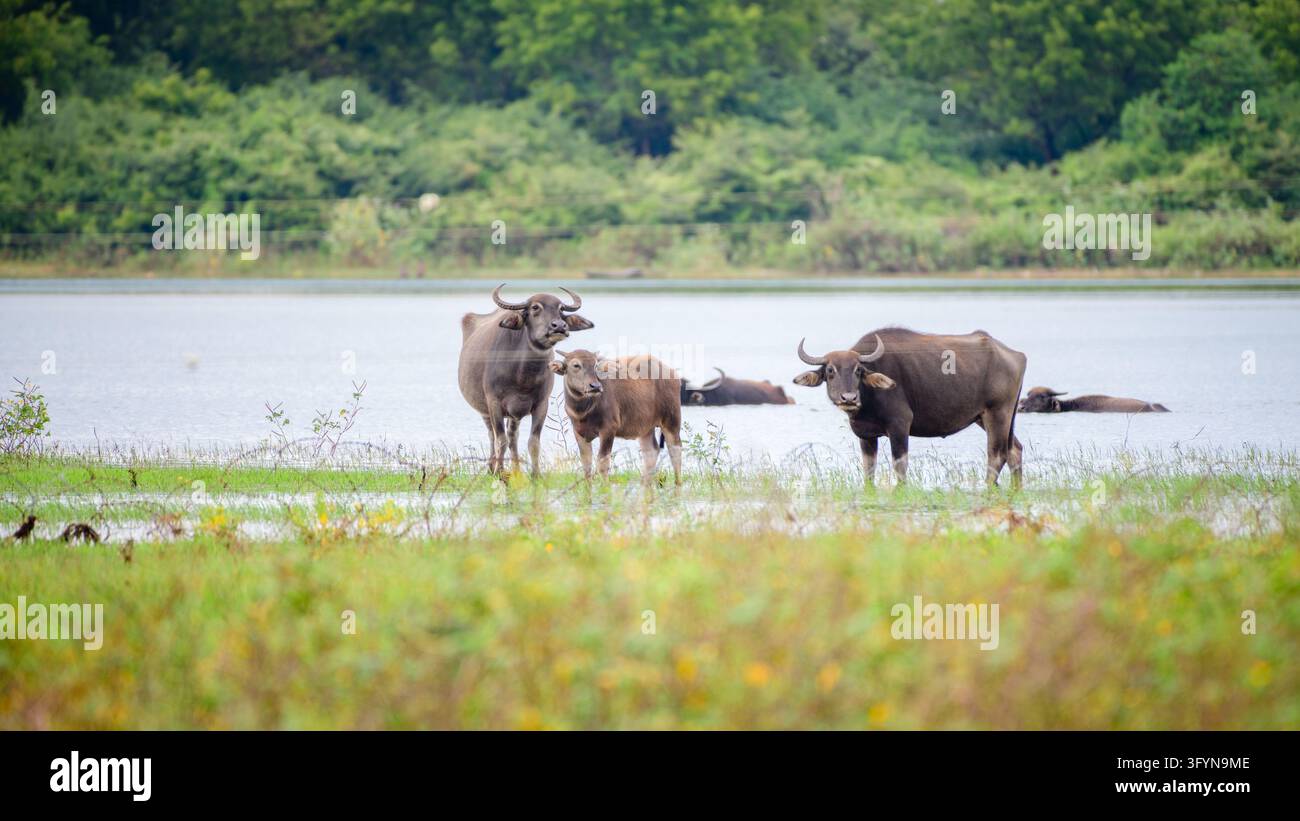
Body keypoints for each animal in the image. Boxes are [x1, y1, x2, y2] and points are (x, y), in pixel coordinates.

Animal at [458, 284, 594, 475]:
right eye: (535, 307)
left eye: (560, 309)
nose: (559, 326)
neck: (522, 377)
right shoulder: (494, 403)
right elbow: (500, 440)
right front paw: (500, 472)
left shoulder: (541, 405)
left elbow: (533, 442)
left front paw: (536, 474)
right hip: (484, 410)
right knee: (493, 435)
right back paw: (492, 467)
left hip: (514, 414)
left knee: (513, 436)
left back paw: (515, 469)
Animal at [551, 350, 682, 485]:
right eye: (576, 365)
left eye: (595, 365)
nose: (595, 386)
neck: (584, 410)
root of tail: (673, 374)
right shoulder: (578, 432)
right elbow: (586, 465)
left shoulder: (608, 430)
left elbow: (602, 463)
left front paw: (605, 488)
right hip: (646, 427)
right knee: (651, 452)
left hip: (672, 420)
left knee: (675, 451)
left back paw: (677, 485)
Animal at [793, 328, 1027, 486]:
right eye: (830, 370)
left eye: (858, 370)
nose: (848, 398)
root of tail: (1016, 355)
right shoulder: (866, 435)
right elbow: (869, 469)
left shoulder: (900, 425)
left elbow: (900, 465)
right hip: (986, 418)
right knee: (1014, 450)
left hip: (998, 414)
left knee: (997, 455)